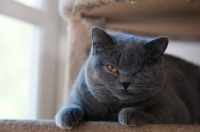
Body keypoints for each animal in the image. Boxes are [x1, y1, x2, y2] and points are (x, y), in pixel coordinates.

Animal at [54, 25, 200, 129]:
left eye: (139, 70)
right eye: (112, 68)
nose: (125, 82)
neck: (113, 109)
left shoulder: (176, 108)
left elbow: (155, 112)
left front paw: (130, 113)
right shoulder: (78, 93)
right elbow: (70, 104)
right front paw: (67, 115)